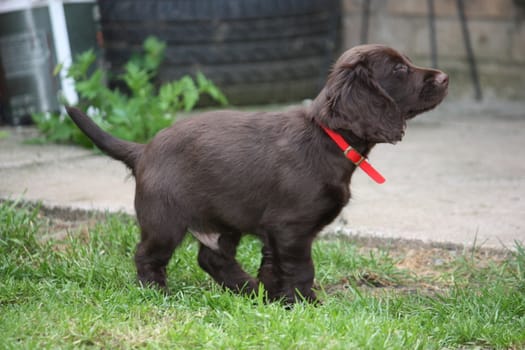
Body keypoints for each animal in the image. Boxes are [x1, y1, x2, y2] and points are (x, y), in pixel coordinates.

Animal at [65, 44, 446, 304]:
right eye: (399, 69)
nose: (445, 77)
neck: (328, 137)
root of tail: (143, 149)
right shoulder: (291, 227)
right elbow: (301, 269)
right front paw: (306, 304)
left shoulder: (273, 230)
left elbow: (273, 267)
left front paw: (274, 298)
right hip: (164, 219)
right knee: (148, 255)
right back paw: (156, 292)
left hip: (224, 218)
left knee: (212, 258)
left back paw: (246, 289)